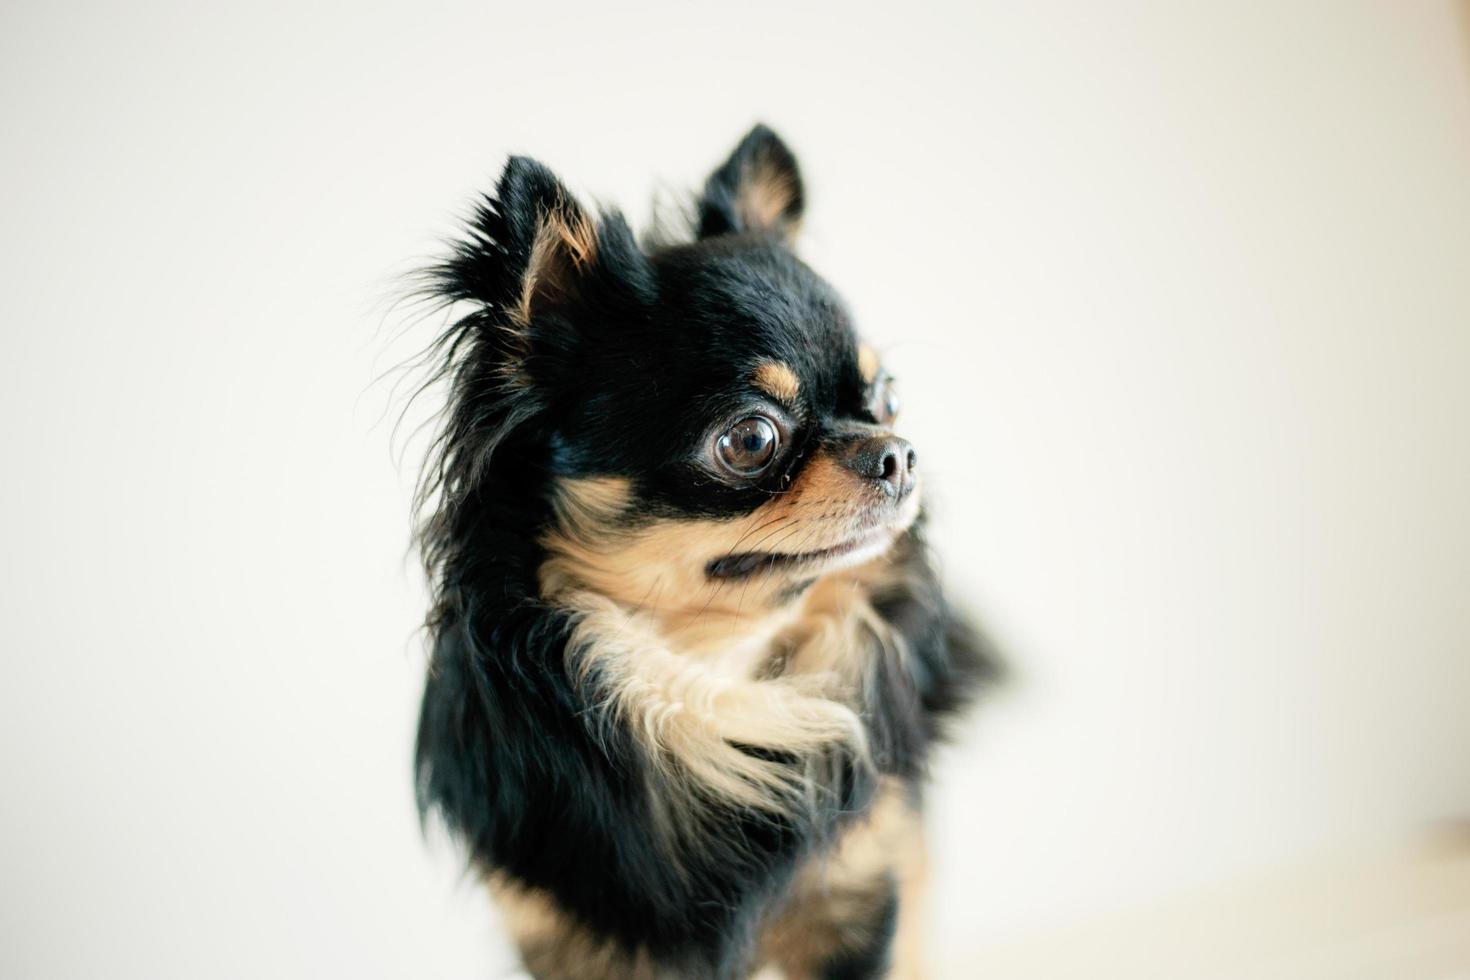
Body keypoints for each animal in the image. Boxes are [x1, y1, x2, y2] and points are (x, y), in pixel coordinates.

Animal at [408, 126, 993, 975]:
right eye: (749, 440)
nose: (899, 454)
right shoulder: (568, 940)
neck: (709, 679)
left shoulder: (859, 902)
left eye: (889, 398)